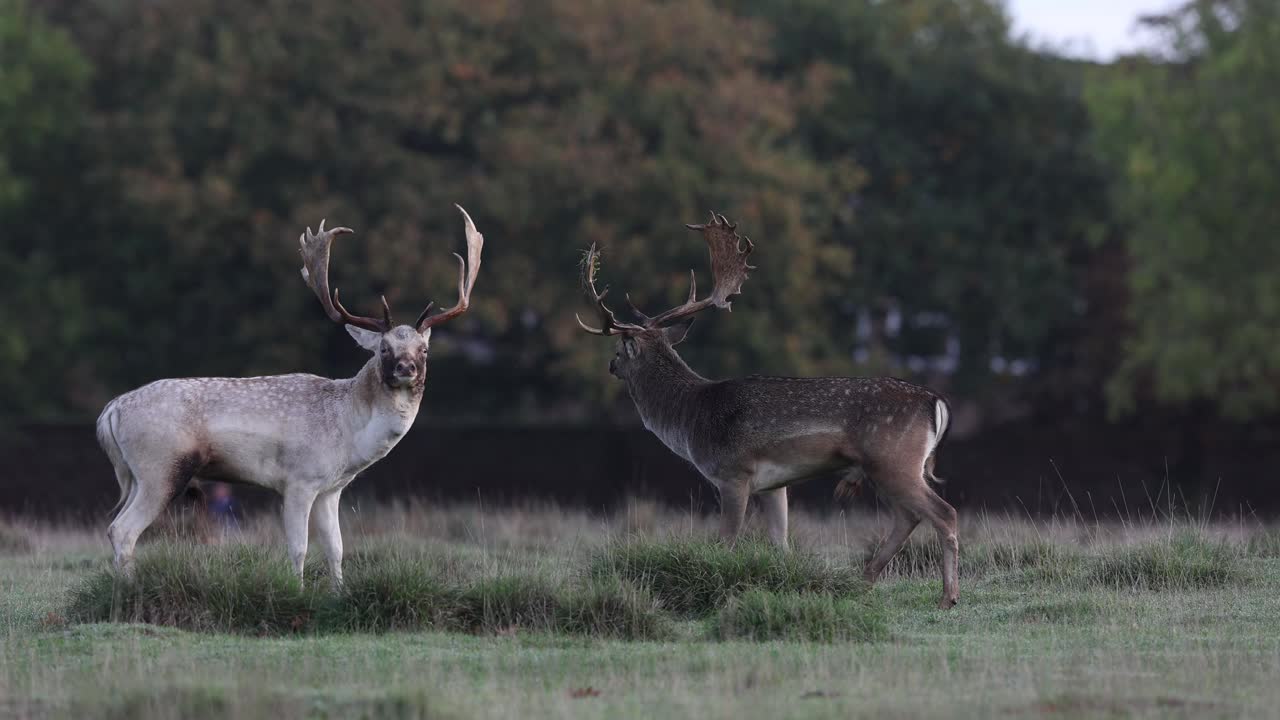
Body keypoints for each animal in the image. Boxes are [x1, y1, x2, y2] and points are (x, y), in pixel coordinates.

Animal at [97, 204, 481, 586]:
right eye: (383, 349)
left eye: (424, 350)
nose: (406, 368)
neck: (347, 432)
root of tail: (111, 411)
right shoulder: (298, 479)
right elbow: (298, 548)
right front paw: (297, 591)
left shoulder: (331, 488)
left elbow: (336, 549)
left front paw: (338, 592)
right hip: (161, 466)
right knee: (123, 529)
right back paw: (128, 587)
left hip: (135, 474)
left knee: (116, 526)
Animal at [581, 212, 962, 604]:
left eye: (618, 349)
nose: (610, 366)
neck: (690, 418)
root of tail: (935, 401)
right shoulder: (773, 486)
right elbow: (781, 544)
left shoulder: (733, 474)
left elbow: (726, 542)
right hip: (887, 468)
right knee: (908, 517)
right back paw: (864, 580)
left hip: (893, 461)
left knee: (944, 513)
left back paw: (948, 596)